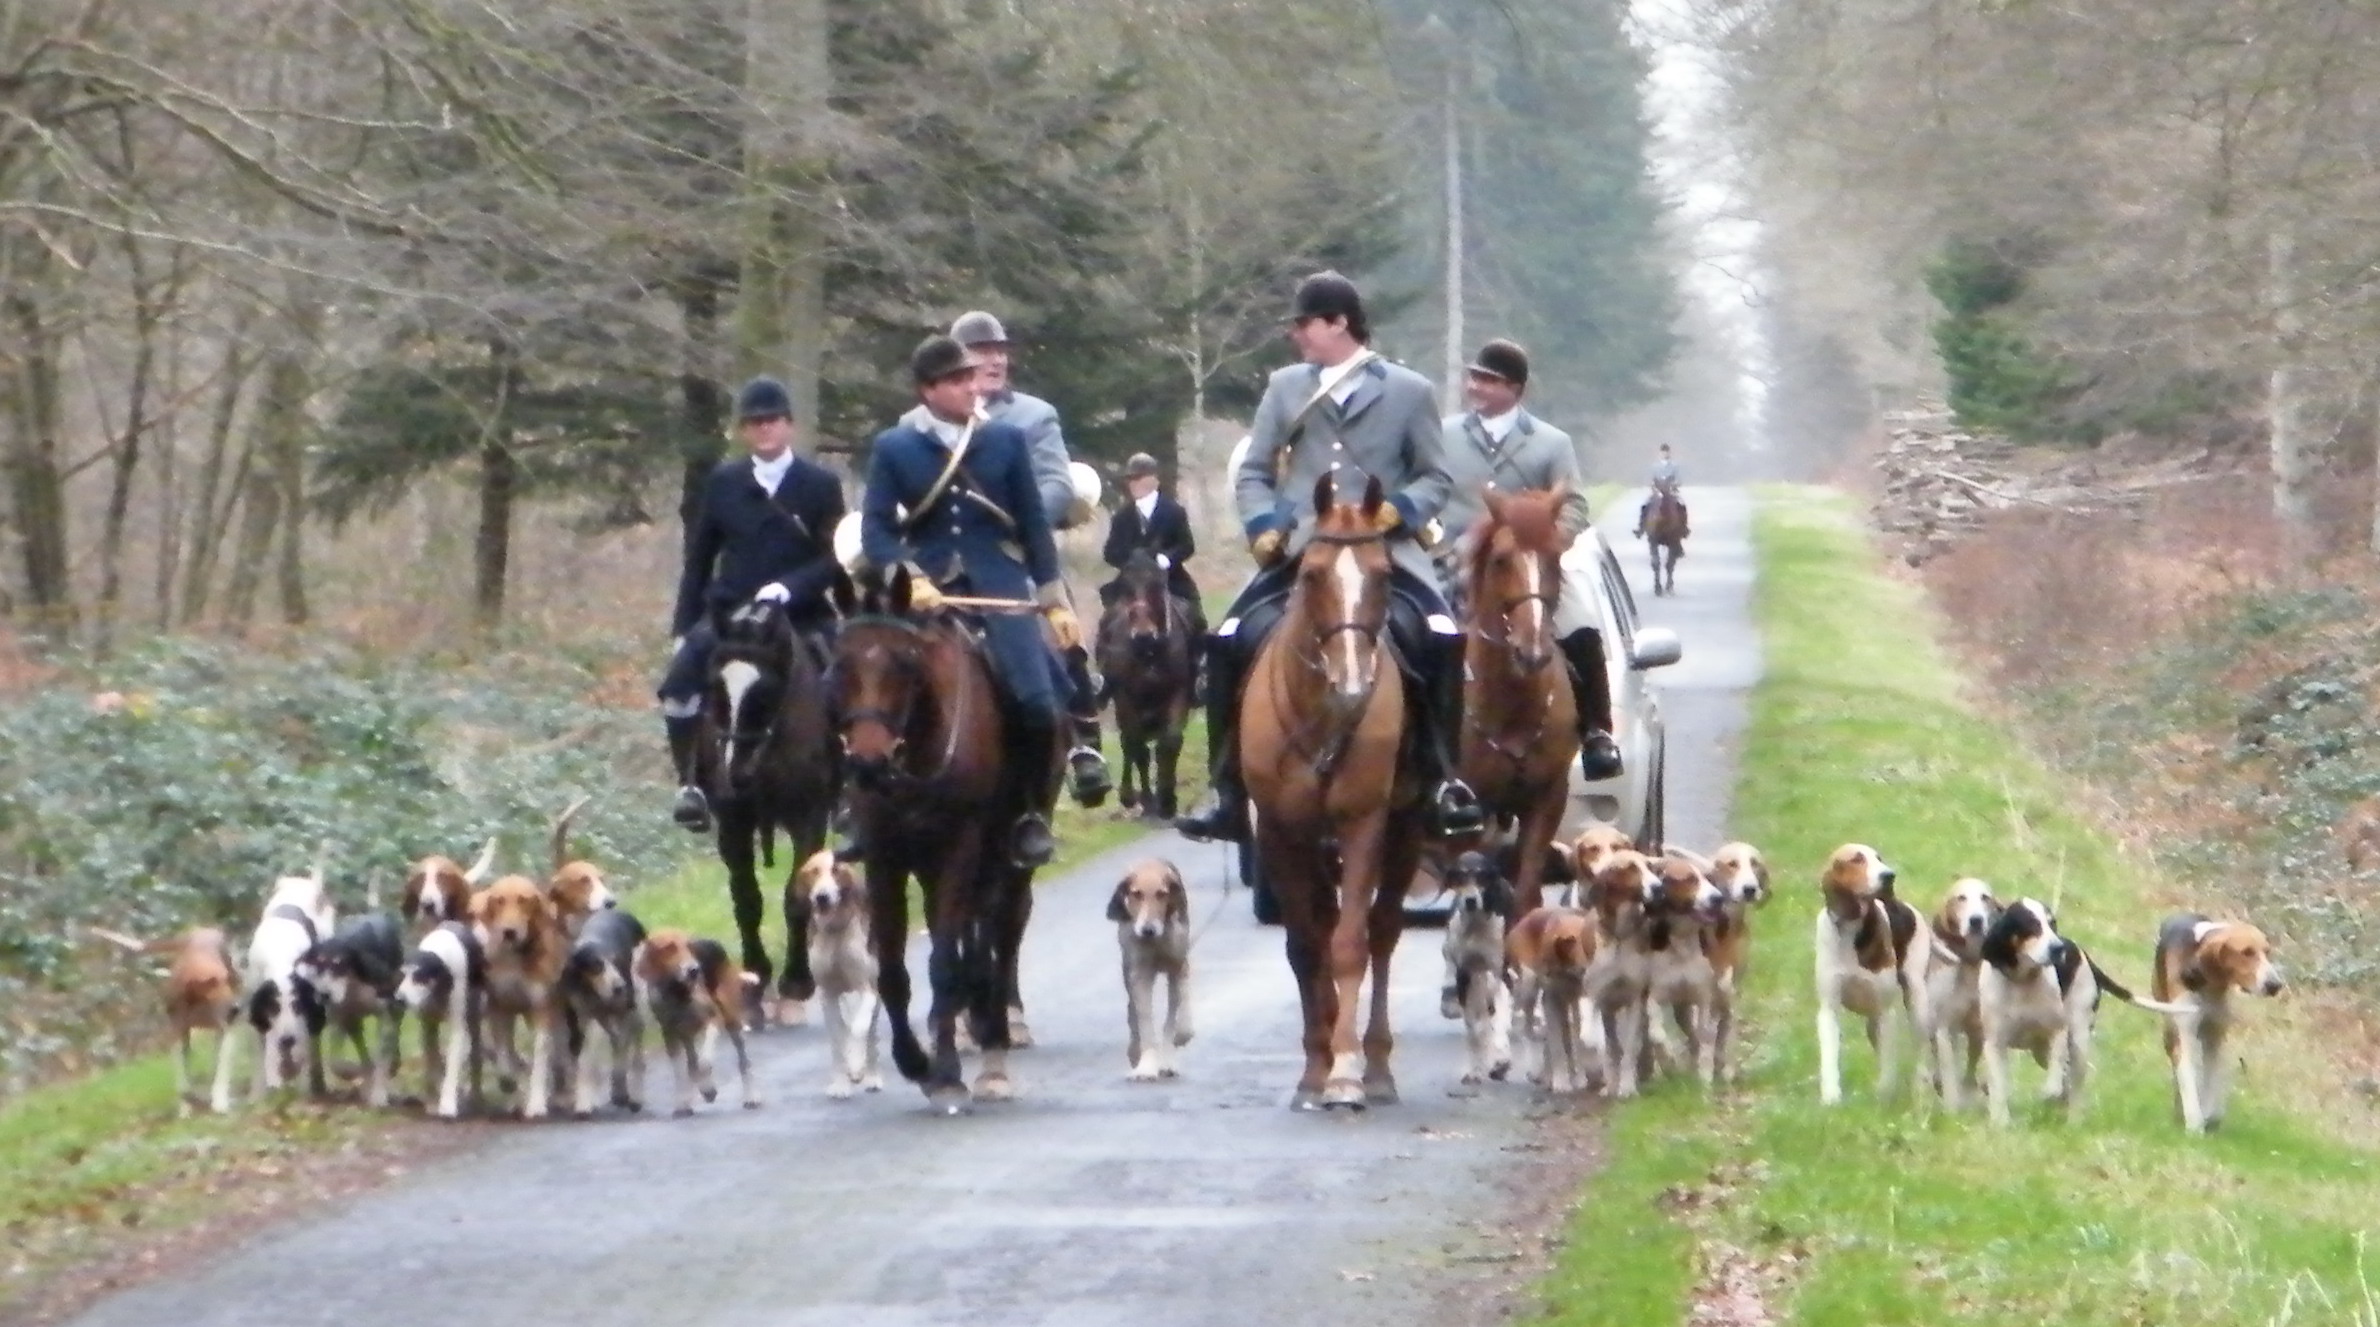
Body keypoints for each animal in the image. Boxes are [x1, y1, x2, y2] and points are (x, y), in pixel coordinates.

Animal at [699, 601, 842, 1032]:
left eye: (764, 693)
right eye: (715, 689)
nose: (735, 774)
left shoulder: (808, 818)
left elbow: (796, 896)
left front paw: (796, 984)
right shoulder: (733, 822)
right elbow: (746, 898)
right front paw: (755, 981)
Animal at [833, 565, 1066, 1117]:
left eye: (903, 663)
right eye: (839, 665)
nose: (867, 765)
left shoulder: (961, 845)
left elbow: (942, 962)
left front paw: (945, 1073)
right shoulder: (885, 855)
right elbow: (893, 969)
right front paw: (914, 1060)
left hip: (1006, 852)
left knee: (1003, 926)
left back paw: (996, 1035)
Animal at [1099, 549, 1199, 822]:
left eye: (1157, 585)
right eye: (1126, 588)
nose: (1143, 635)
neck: (1149, 654)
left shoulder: (1179, 692)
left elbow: (1169, 742)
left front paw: (1168, 800)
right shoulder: (1125, 698)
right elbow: (1138, 748)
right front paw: (1147, 800)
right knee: (1129, 745)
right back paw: (1131, 796)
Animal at [1237, 475, 1418, 1112]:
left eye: (1383, 574)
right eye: (1312, 573)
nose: (1353, 684)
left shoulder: (1363, 822)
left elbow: (1349, 944)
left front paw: (1344, 1072)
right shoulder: (1278, 830)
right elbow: (1304, 944)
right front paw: (1315, 1070)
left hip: (1404, 832)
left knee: (1383, 931)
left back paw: (1379, 1066)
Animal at [1447, 482, 1580, 922]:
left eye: (1555, 554)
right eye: (1501, 559)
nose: (1532, 652)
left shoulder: (1547, 800)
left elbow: (1524, 897)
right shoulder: (1468, 813)